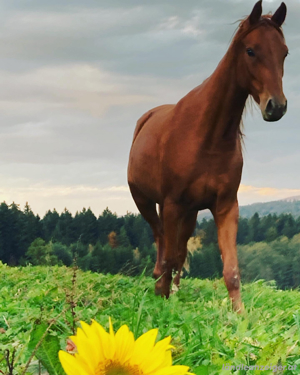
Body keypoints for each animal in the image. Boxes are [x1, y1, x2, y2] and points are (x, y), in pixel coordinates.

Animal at [127, 0, 288, 312]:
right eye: (251, 50)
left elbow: (231, 270)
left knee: (177, 250)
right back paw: (158, 282)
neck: (207, 136)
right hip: (147, 202)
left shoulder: (225, 206)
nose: (276, 106)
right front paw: (163, 299)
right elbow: (169, 256)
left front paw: (239, 315)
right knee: (161, 240)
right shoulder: (172, 204)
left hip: (188, 213)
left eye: (285, 52)